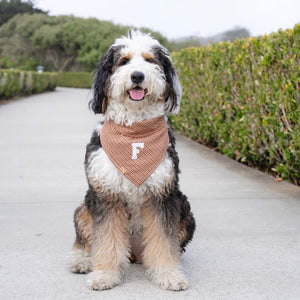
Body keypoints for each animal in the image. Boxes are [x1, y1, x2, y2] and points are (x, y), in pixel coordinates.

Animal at [68, 30, 196, 290]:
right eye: (124, 61)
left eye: (149, 60)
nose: (137, 75)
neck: (135, 133)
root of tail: (134, 253)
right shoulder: (106, 195)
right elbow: (106, 240)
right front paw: (104, 275)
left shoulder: (163, 194)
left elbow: (164, 242)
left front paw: (169, 275)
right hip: (84, 209)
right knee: (85, 240)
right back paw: (81, 261)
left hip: (185, 212)